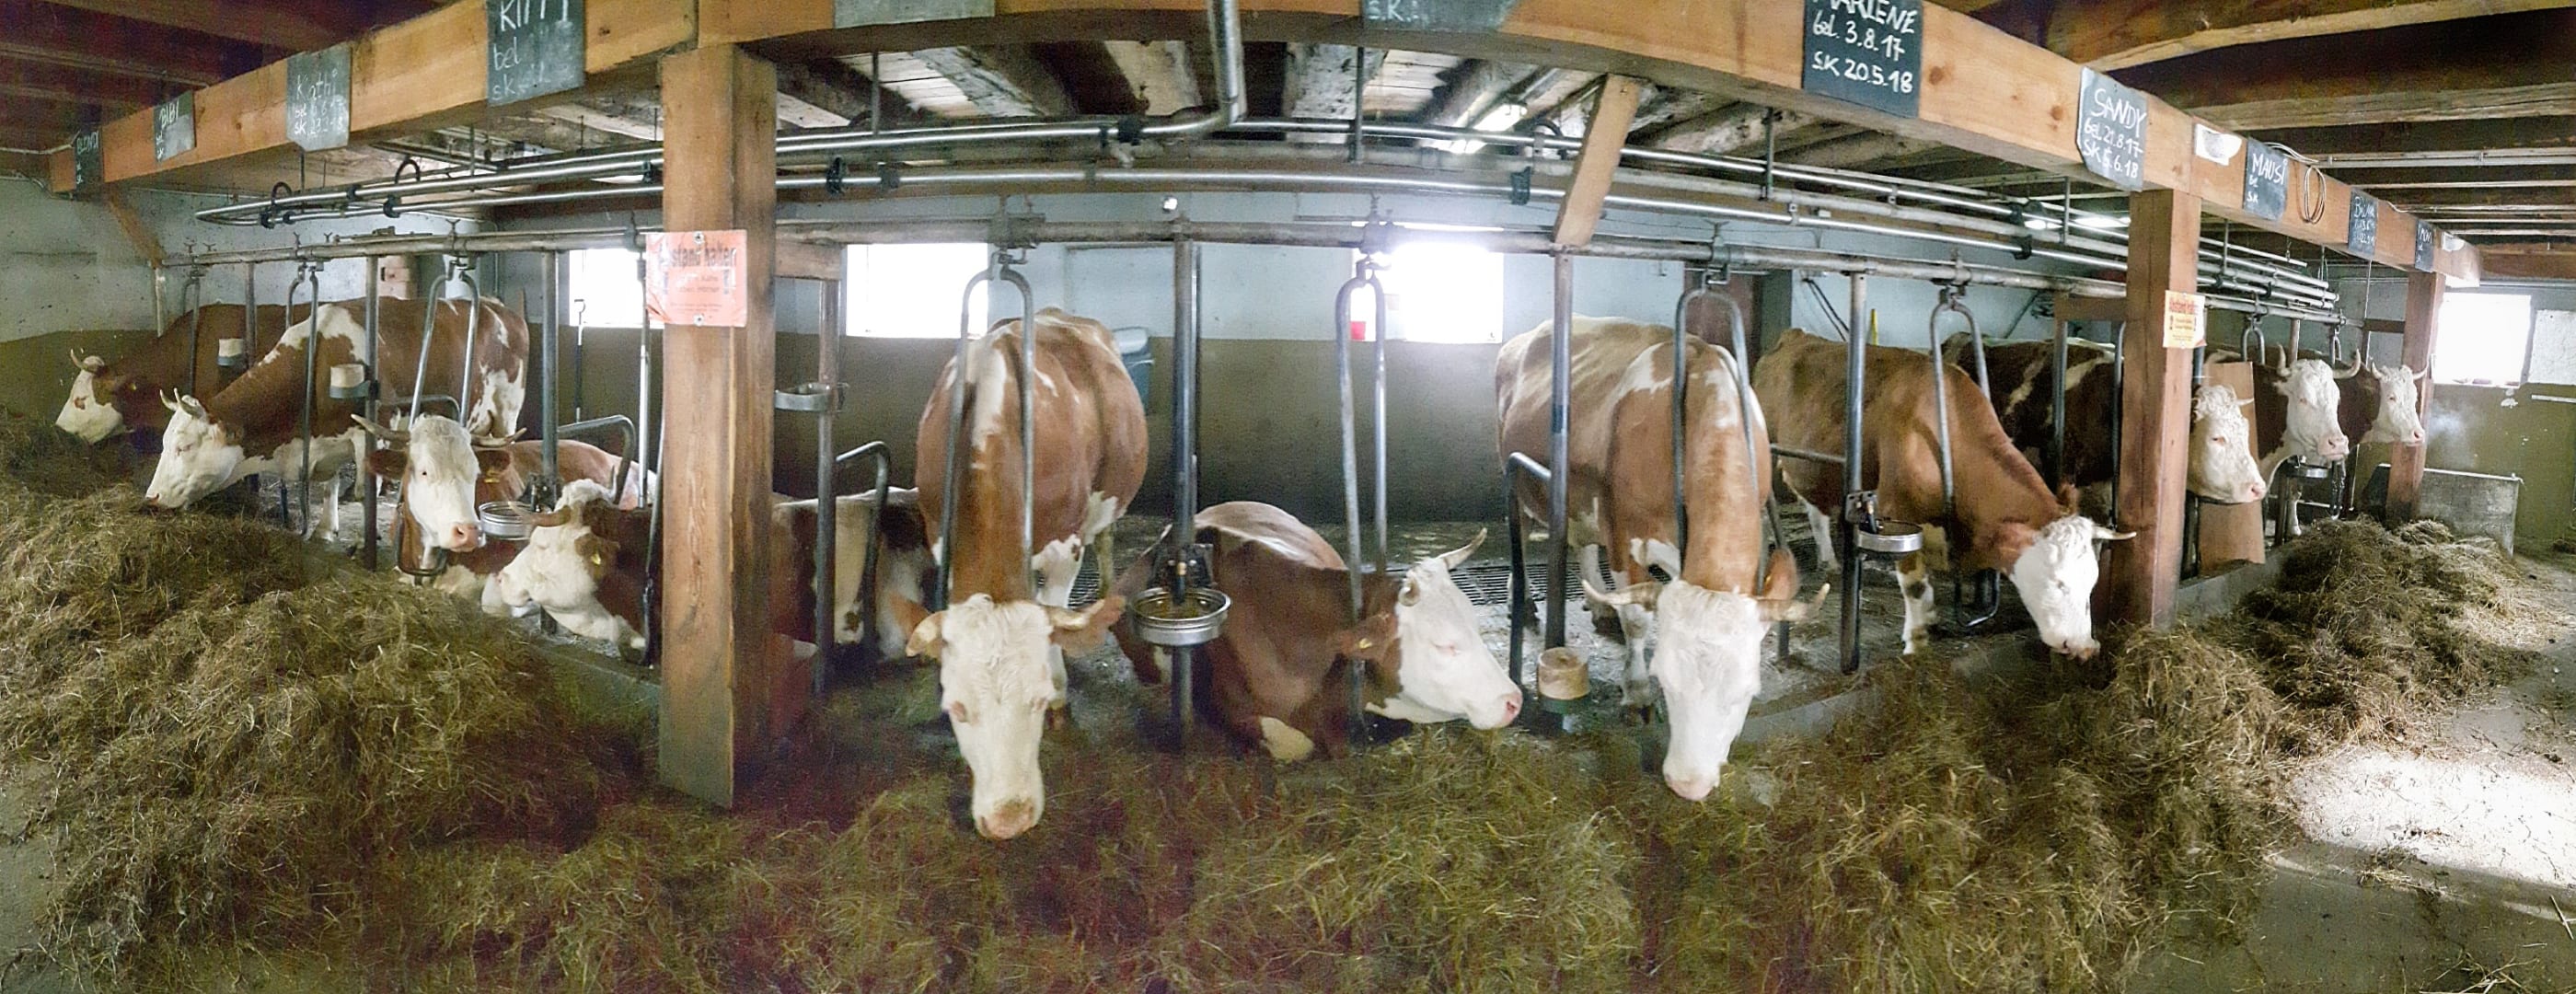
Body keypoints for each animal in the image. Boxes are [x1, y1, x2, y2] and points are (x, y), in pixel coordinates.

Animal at [142, 298, 528, 529]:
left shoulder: (375, 427)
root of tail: (500, 308)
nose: (151, 497)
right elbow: (330, 484)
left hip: (507, 410)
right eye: (163, 443)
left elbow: (362, 490)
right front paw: (326, 529)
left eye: (184, 447)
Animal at [894, 307, 1146, 840]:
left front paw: (1063, 700)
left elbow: (1054, 614)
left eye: (1037, 699)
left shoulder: (1065, 547)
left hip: (1108, 504)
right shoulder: (940, 537)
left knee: (1106, 537)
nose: (1009, 819)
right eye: (955, 708)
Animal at [1496, 317, 1823, 800]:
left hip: (1584, 498)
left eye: (1746, 692)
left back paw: (1597, 605)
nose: (1689, 783)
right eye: (1665, 680)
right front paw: (1636, 694)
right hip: (1513, 475)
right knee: (1518, 528)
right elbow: (1637, 619)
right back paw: (1524, 599)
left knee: (1582, 541)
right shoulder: (1625, 533)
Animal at [1754, 328, 2131, 662]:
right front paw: (1916, 646)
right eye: (2057, 582)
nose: (2086, 647)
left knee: (1814, 508)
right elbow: (1917, 588)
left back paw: (1829, 560)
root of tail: (1795, 335)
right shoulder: (1899, 518)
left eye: (2091, 582)